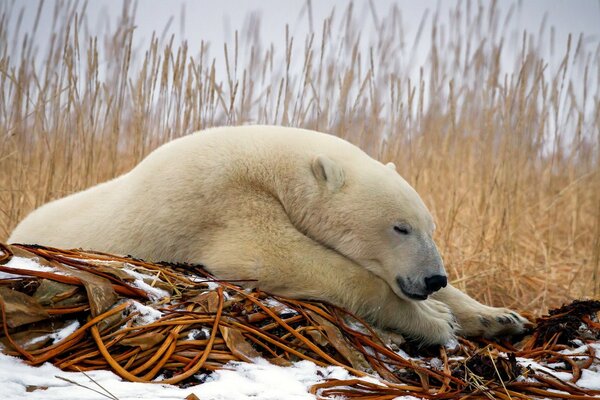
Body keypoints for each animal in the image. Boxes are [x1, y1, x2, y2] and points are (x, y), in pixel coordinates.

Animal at [8, 126, 524, 346]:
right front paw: (436, 321)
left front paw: (499, 317)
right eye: (400, 227)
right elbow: (276, 258)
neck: (272, 163)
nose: (434, 278)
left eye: (430, 226)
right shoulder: (227, 199)